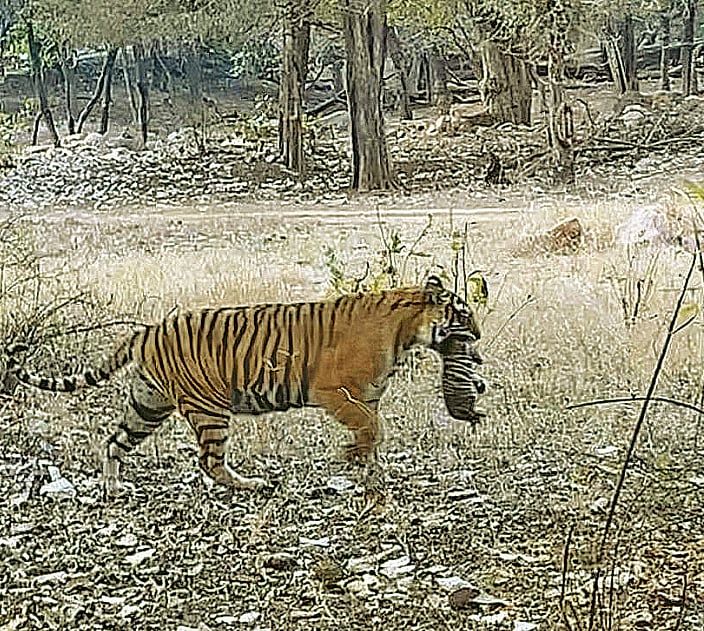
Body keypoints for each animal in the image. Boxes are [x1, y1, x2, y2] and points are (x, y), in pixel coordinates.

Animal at [8, 276, 481, 494]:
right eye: (464, 313)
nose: (477, 335)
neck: (406, 330)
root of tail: (148, 330)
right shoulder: (335, 392)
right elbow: (372, 429)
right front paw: (352, 458)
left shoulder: (368, 396)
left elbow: (374, 434)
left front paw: (371, 471)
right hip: (209, 408)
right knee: (209, 461)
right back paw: (251, 485)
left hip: (147, 404)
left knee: (113, 441)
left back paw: (113, 487)